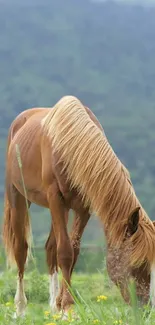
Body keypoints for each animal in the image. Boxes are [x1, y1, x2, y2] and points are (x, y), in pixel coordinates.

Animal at [1, 94, 155, 316]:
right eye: (137, 263)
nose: (145, 310)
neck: (71, 145)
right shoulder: (55, 198)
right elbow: (65, 252)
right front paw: (66, 308)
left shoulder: (83, 208)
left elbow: (72, 251)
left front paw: (63, 305)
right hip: (19, 197)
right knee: (21, 249)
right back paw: (20, 309)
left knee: (50, 248)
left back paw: (52, 307)